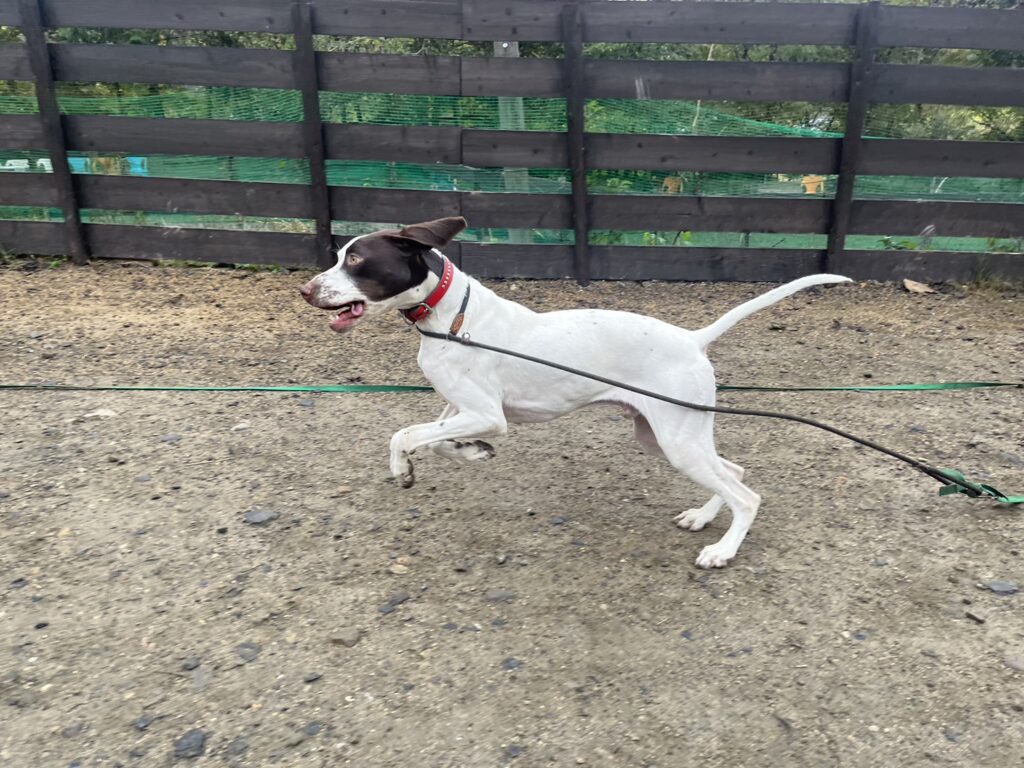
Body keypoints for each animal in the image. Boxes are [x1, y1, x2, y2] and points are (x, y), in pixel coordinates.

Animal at [300, 217, 851, 568]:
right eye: (340, 257)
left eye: (357, 259)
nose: (306, 290)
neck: (452, 316)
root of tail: (691, 338)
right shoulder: (460, 407)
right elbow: (434, 438)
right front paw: (471, 451)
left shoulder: (487, 413)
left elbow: (403, 435)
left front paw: (403, 469)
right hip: (667, 436)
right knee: (732, 473)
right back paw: (701, 517)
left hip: (678, 441)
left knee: (747, 495)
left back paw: (723, 552)